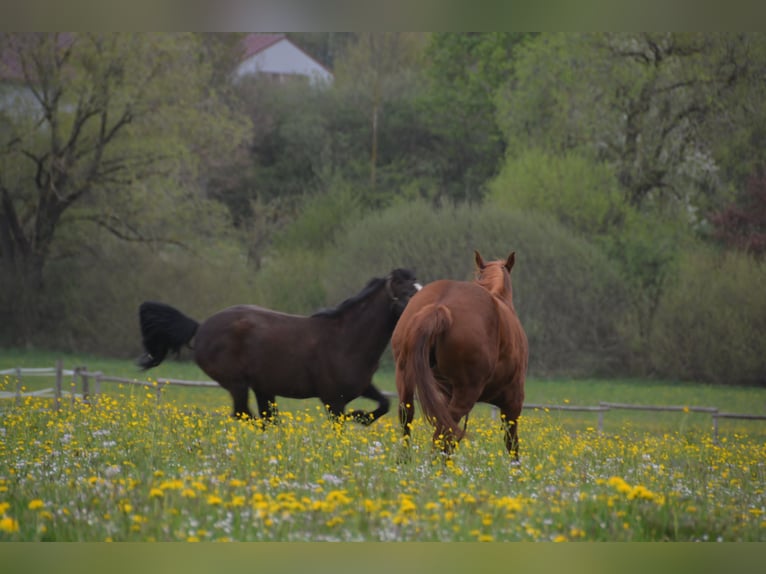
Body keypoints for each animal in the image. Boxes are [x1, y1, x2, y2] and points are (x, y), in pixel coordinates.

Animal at [140, 268, 424, 424]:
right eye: (409, 292)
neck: (347, 339)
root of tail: (200, 328)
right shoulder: (333, 401)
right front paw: (357, 416)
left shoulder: (362, 387)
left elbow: (383, 405)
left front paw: (361, 416)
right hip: (237, 384)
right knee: (245, 415)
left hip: (262, 388)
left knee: (263, 418)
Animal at [392, 251, 532, 460]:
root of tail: (440, 307)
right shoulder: (513, 402)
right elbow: (512, 443)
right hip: (466, 393)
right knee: (443, 433)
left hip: (405, 378)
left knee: (408, 418)